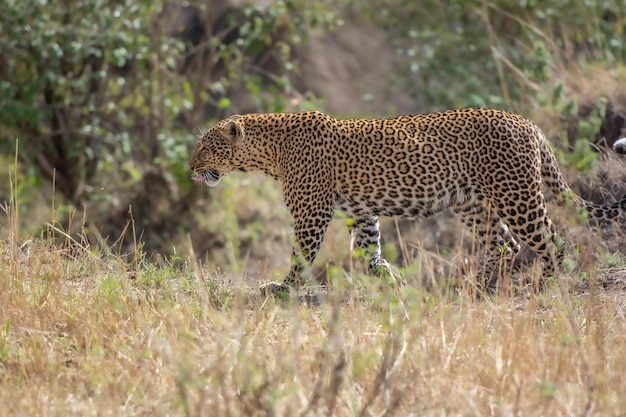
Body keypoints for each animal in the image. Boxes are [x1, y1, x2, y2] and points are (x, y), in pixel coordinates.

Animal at [190, 109, 624, 294]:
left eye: (206, 147)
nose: (191, 166)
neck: (268, 151)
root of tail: (529, 124)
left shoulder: (312, 211)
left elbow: (301, 252)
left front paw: (283, 286)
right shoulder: (361, 211)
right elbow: (369, 253)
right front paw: (393, 281)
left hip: (515, 193)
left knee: (550, 239)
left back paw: (547, 284)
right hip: (469, 201)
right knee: (504, 243)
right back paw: (473, 287)